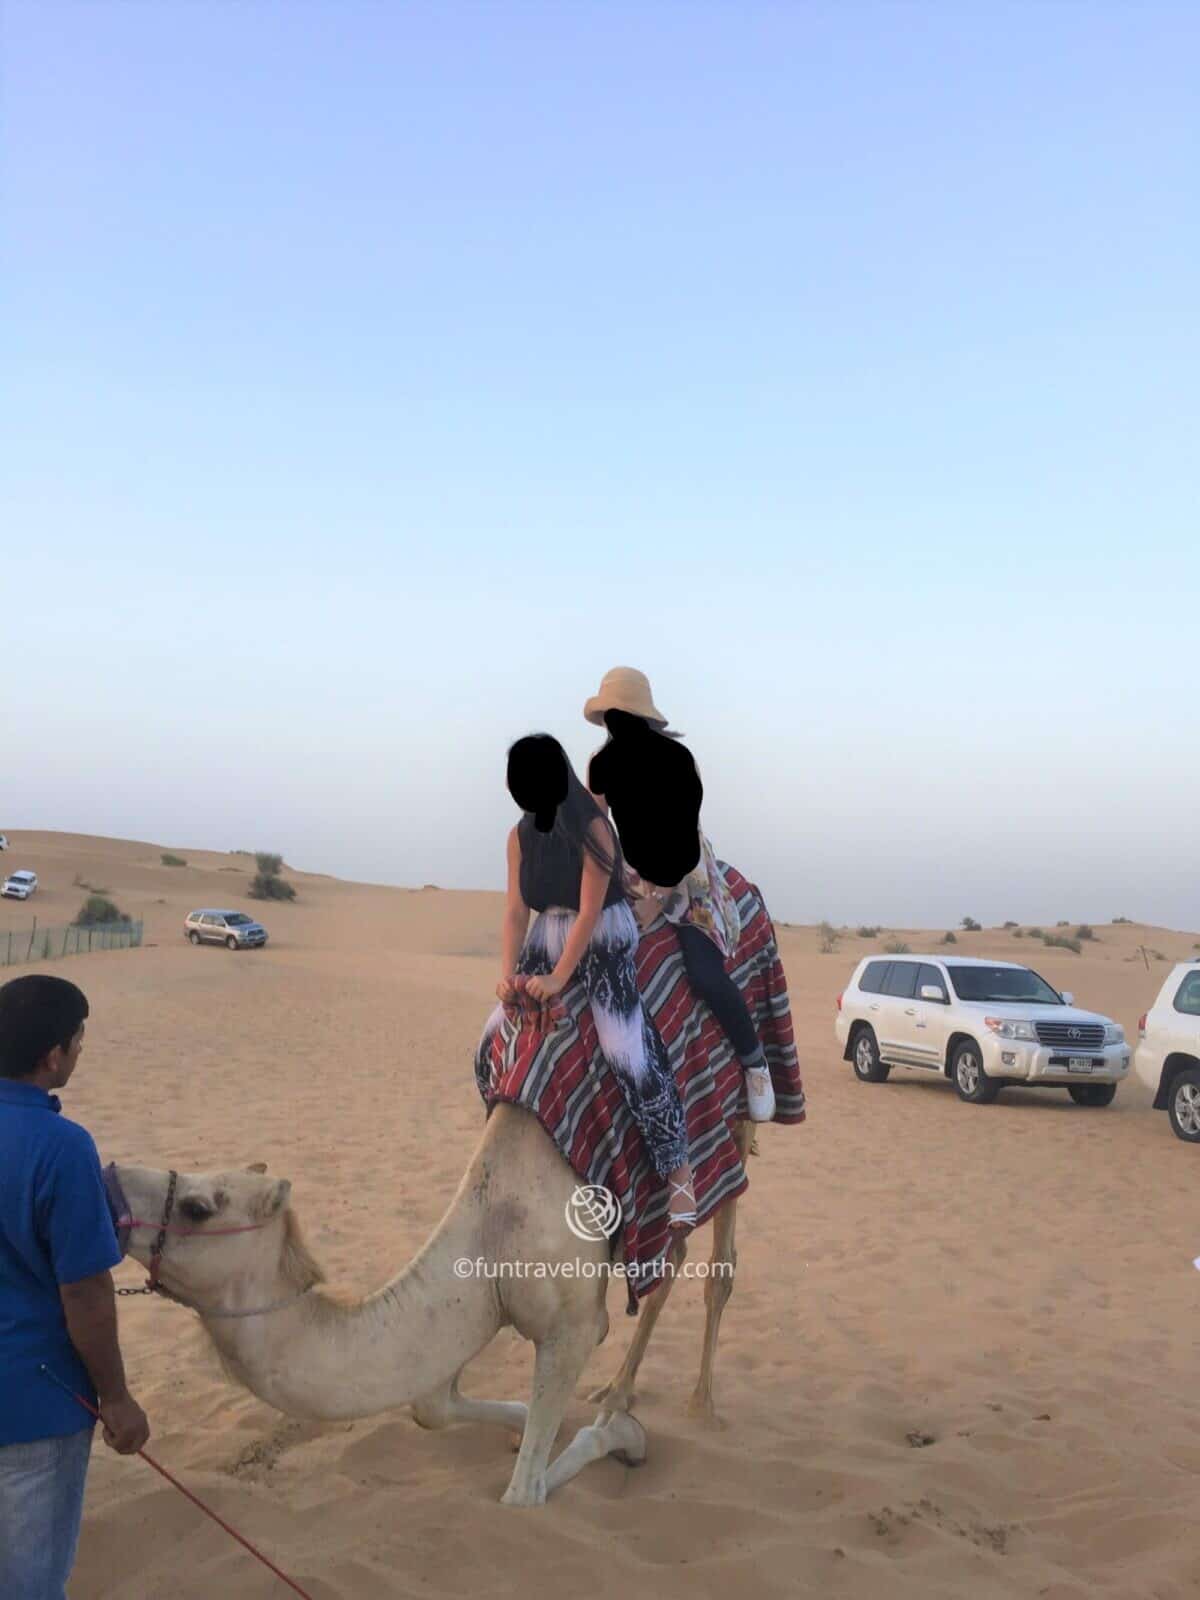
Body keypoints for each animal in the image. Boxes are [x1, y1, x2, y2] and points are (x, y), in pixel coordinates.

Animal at [112, 1100, 752, 1497]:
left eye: (198, 1206)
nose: (109, 1174)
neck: (490, 1231)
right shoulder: (470, 1307)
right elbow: (432, 1406)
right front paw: (527, 1424)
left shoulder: (573, 1327)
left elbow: (522, 1494)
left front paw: (620, 1436)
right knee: (673, 1253)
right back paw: (619, 1391)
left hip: (735, 1128)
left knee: (713, 1256)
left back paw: (698, 1405)